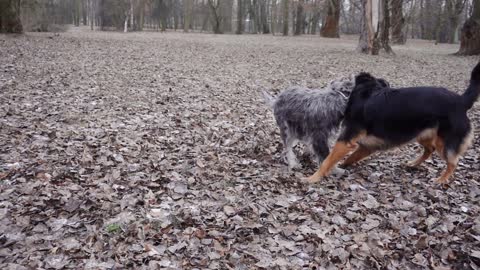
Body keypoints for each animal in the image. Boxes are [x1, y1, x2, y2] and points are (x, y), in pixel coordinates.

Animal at [308, 61, 480, 184]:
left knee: (453, 162)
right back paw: (413, 164)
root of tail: (461, 101)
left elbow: (327, 160)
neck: (364, 92)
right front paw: (341, 167)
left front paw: (313, 178)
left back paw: (441, 179)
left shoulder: (346, 140)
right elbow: (348, 159)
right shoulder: (367, 146)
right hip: (422, 134)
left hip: (445, 142)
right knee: (429, 149)